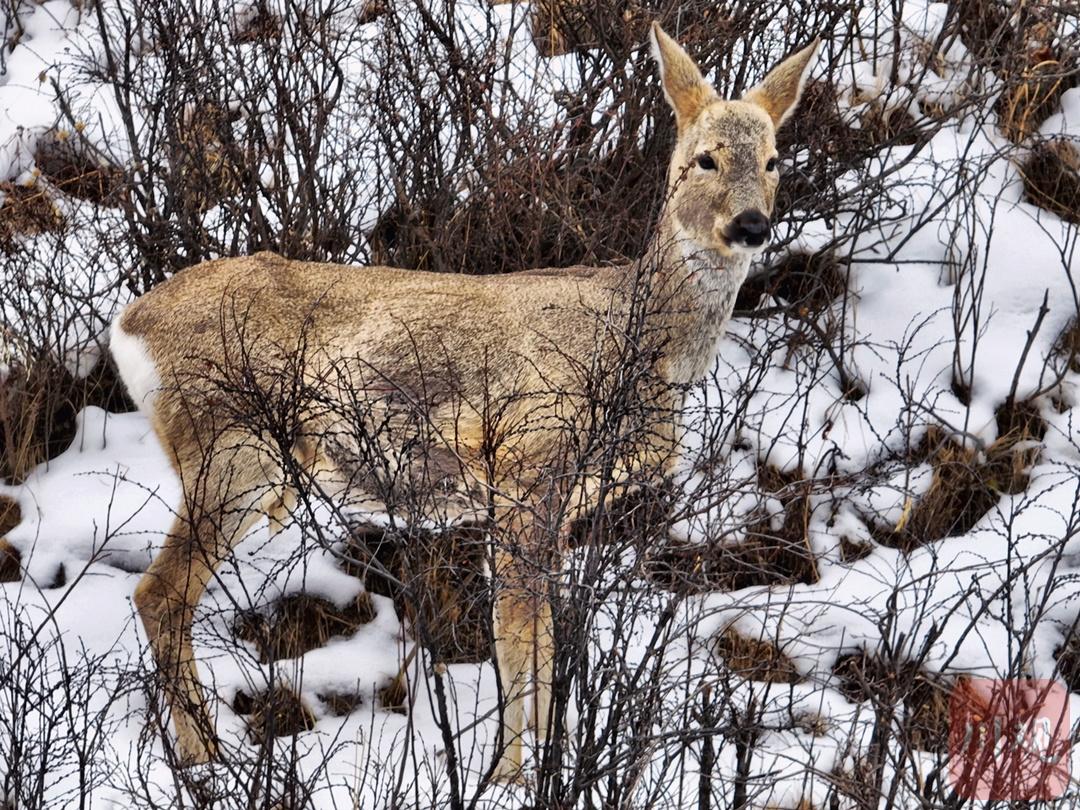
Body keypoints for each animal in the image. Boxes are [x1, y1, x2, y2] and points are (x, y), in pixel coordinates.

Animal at [111, 25, 816, 781]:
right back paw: (205, 759)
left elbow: (544, 639)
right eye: (705, 157)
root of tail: (128, 326)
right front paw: (507, 774)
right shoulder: (526, 466)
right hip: (231, 448)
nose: (751, 224)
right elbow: (517, 638)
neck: (633, 348)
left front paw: (544, 761)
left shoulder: (558, 505)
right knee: (159, 593)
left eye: (774, 159)